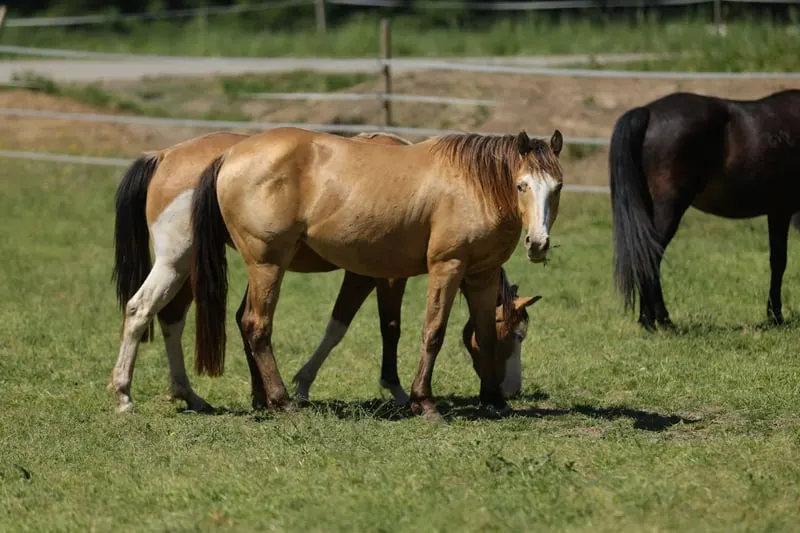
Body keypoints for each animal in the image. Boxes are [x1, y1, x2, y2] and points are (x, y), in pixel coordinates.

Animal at [110, 130, 541, 414]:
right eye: (514, 335)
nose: (512, 389)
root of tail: (165, 155)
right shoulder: (377, 275)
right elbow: (371, 327)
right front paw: (396, 391)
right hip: (179, 259)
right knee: (144, 310)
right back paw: (128, 394)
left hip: (191, 265)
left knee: (170, 316)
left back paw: (194, 394)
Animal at [610, 89, 800, 330]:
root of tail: (648, 112)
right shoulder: (782, 210)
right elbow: (780, 262)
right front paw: (776, 316)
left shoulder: (776, 211)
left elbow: (777, 261)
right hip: (668, 210)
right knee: (651, 256)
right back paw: (662, 321)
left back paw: (649, 321)